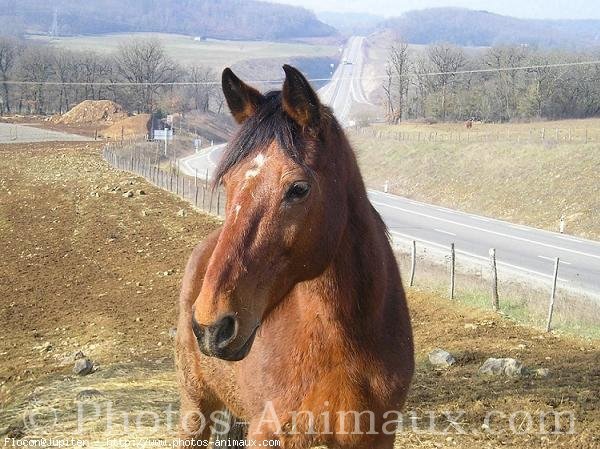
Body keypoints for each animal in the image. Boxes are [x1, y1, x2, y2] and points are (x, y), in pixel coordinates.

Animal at [176, 65, 414, 448]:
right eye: (227, 183)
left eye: (298, 188)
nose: (212, 326)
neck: (345, 343)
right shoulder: (271, 433)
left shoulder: (375, 436)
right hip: (195, 408)